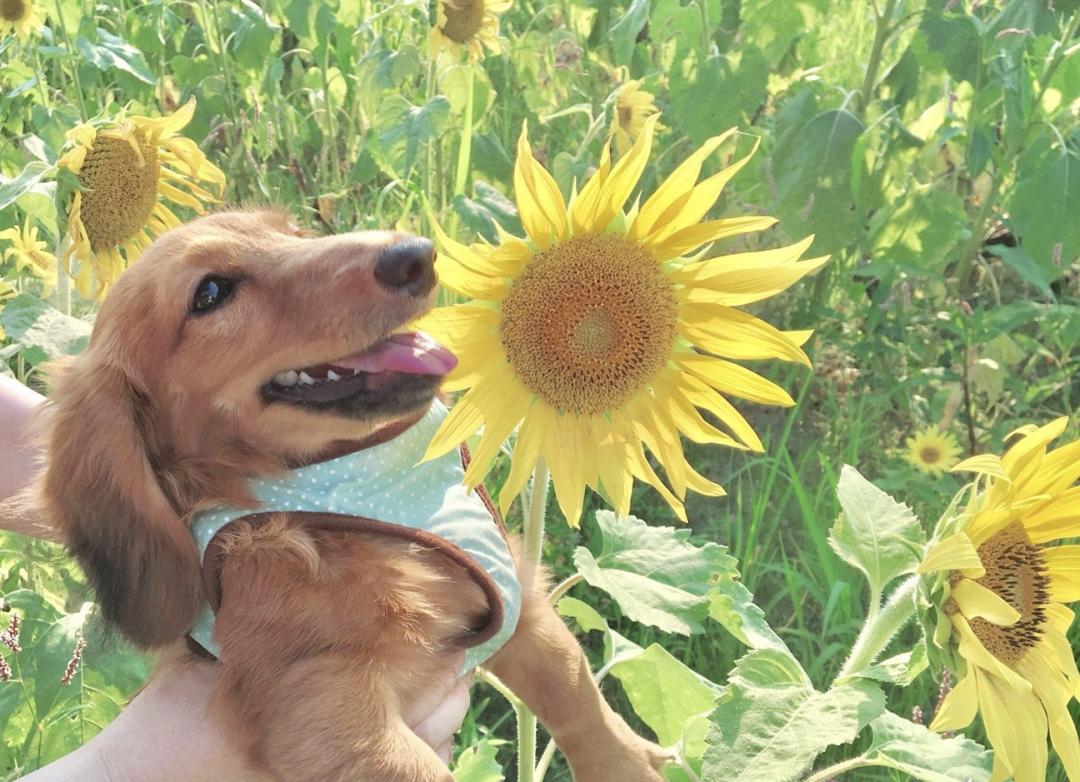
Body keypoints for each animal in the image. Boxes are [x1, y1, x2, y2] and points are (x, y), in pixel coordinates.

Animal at [38, 209, 669, 782]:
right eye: (210, 293)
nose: (415, 254)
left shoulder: (520, 599)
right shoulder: (325, 706)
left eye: (292, 233)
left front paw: (629, 764)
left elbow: (580, 698)